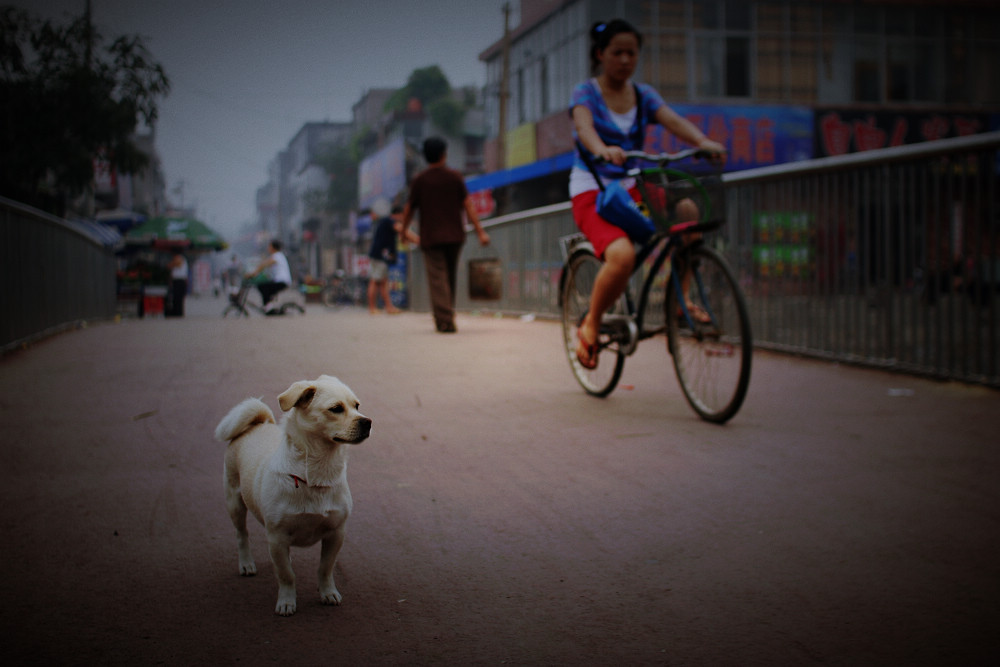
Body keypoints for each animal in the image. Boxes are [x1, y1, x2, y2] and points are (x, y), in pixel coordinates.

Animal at [214, 376, 372, 616]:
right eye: (336, 409)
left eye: (357, 406)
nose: (368, 422)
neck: (317, 474)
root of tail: (259, 424)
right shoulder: (276, 537)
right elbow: (286, 575)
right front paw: (287, 601)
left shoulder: (336, 533)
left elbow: (325, 568)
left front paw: (328, 593)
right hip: (235, 503)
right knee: (242, 535)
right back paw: (246, 564)